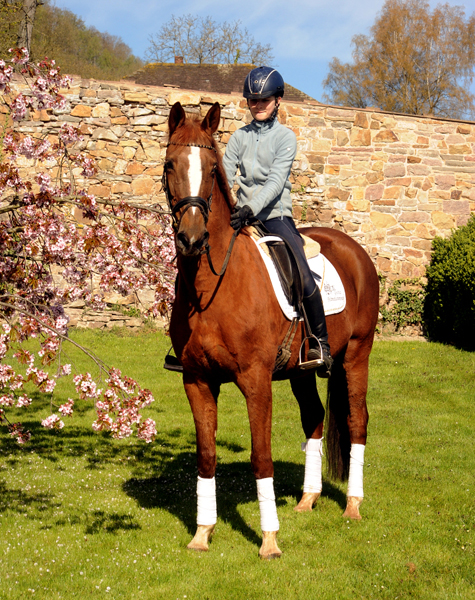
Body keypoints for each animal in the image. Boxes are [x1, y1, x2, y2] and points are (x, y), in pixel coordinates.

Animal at [164, 102, 380, 556]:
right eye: (170, 164)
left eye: (212, 168)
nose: (192, 239)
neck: (213, 285)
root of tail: (354, 250)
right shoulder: (197, 380)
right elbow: (206, 457)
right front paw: (202, 533)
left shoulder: (256, 381)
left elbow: (260, 459)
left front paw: (269, 541)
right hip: (301, 369)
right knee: (315, 417)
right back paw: (308, 498)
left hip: (356, 355)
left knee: (357, 421)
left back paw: (352, 504)